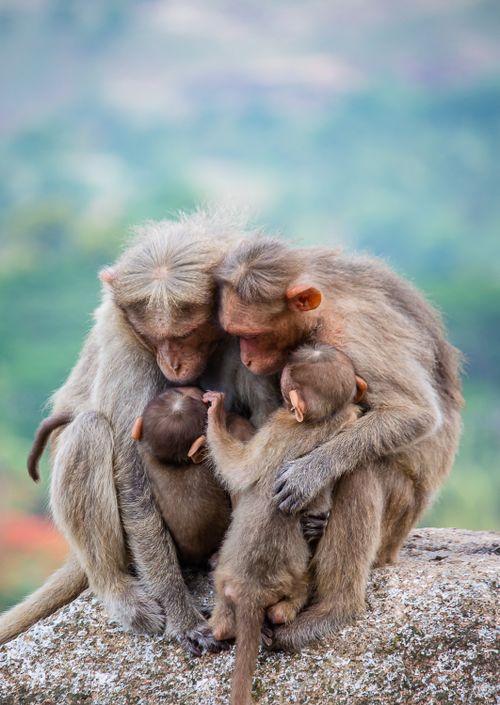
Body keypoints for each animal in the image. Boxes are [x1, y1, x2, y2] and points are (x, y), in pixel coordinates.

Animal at [0, 210, 281, 652]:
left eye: (186, 334)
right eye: (156, 336)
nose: (174, 364)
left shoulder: (250, 335)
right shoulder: (127, 345)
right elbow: (131, 476)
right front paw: (183, 615)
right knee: (90, 431)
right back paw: (115, 586)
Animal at [203, 344, 367, 705]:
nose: (281, 396)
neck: (316, 421)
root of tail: (253, 590)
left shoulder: (276, 427)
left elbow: (239, 468)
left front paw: (215, 413)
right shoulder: (342, 418)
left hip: (229, 580)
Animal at [215, 235, 463, 651]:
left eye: (252, 335)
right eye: (236, 335)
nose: (246, 358)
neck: (321, 312)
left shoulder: (353, 333)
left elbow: (414, 413)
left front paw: (309, 474)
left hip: (398, 520)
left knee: (363, 471)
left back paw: (336, 608)